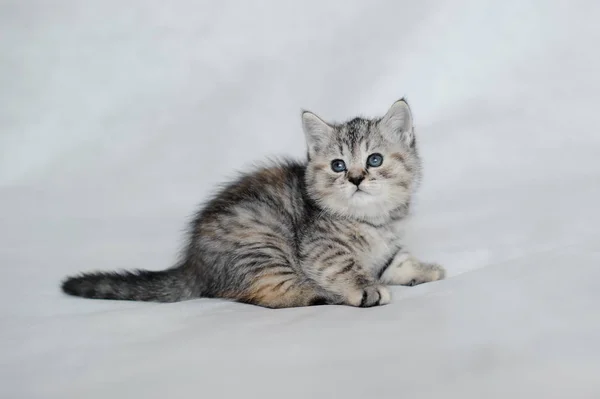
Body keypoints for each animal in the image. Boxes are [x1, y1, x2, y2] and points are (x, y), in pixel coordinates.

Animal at [62, 100, 446, 310]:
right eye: (338, 165)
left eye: (374, 159)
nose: (354, 178)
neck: (373, 220)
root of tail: (192, 264)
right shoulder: (320, 248)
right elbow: (346, 266)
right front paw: (366, 287)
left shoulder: (388, 247)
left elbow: (397, 261)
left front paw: (425, 269)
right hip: (262, 242)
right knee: (273, 292)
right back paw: (328, 295)